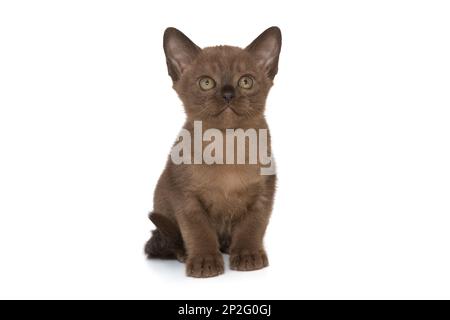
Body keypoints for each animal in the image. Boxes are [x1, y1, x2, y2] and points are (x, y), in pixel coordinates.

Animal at [145, 26, 282, 278]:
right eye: (206, 83)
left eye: (245, 81)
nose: (228, 94)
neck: (227, 143)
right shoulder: (186, 197)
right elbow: (199, 232)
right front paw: (204, 262)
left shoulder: (263, 192)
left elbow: (252, 226)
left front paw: (248, 256)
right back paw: (185, 254)